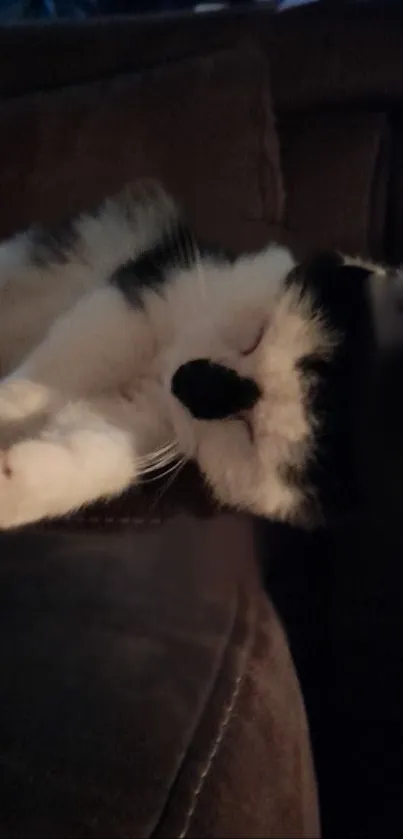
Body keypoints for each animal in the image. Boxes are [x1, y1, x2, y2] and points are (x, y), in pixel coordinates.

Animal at [0, 182, 390, 532]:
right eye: (256, 337)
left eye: (249, 430)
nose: (185, 380)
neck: (156, 372)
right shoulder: (138, 302)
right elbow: (56, 371)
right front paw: (12, 403)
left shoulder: (138, 418)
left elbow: (91, 455)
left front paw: (11, 487)